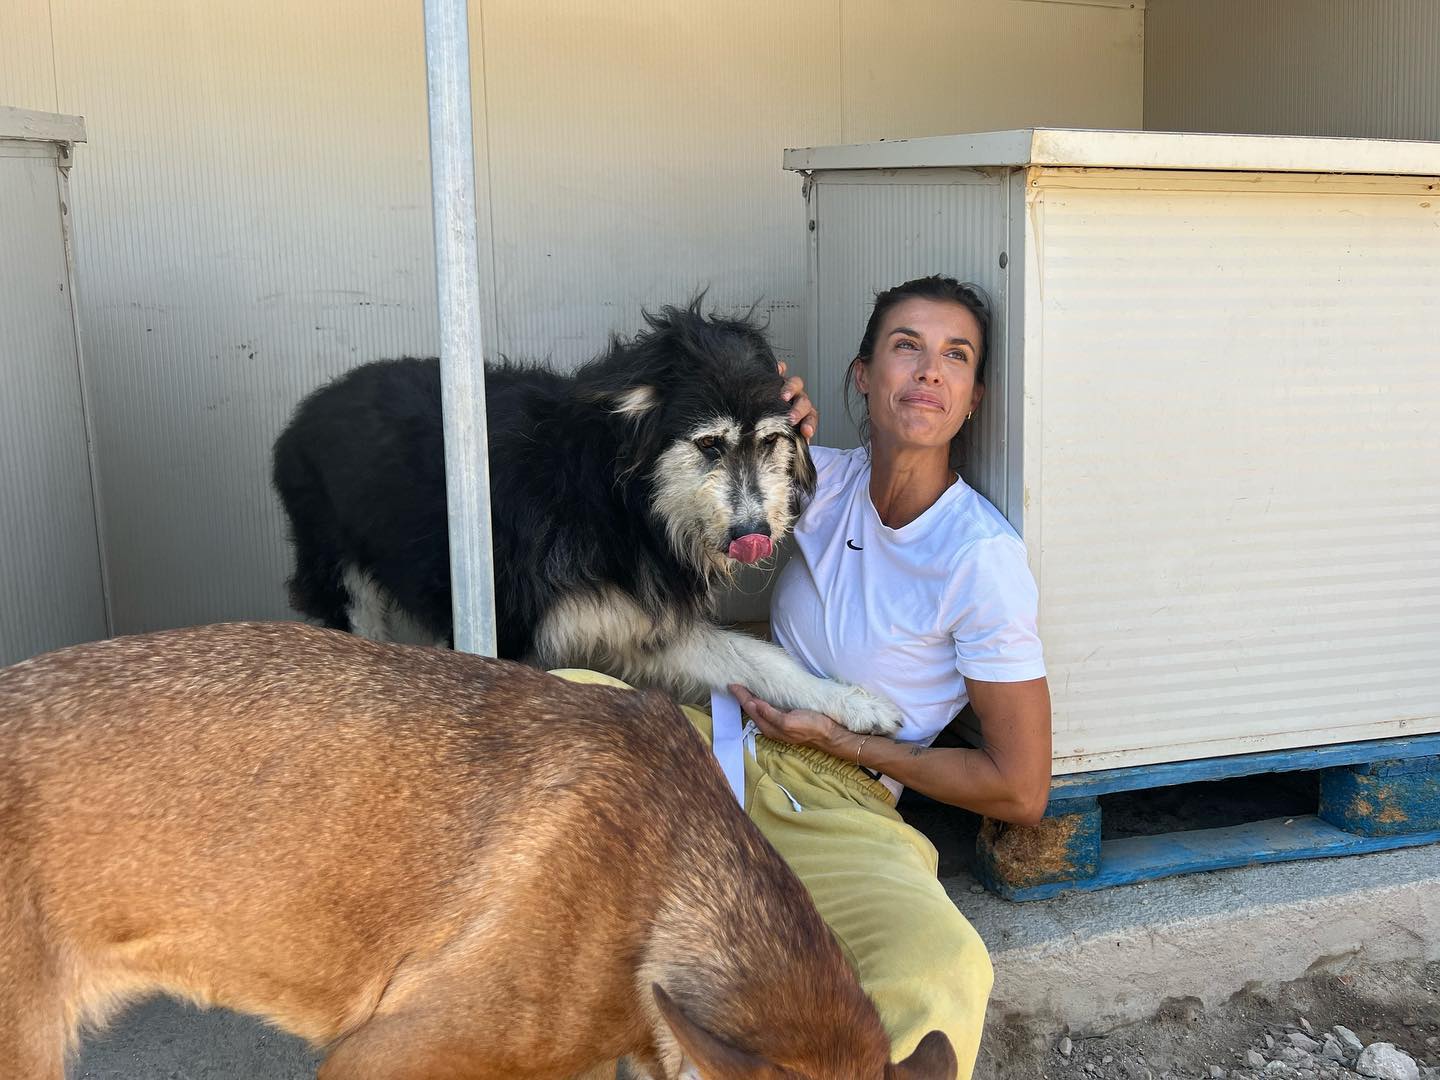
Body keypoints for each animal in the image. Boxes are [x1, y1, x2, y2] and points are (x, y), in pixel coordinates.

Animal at [270, 305, 898, 737]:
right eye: (709, 444)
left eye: (770, 442)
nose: (755, 538)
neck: (618, 503)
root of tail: (314, 404)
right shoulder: (507, 628)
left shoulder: (648, 624)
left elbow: (764, 661)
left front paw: (852, 702)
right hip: (344, 584)